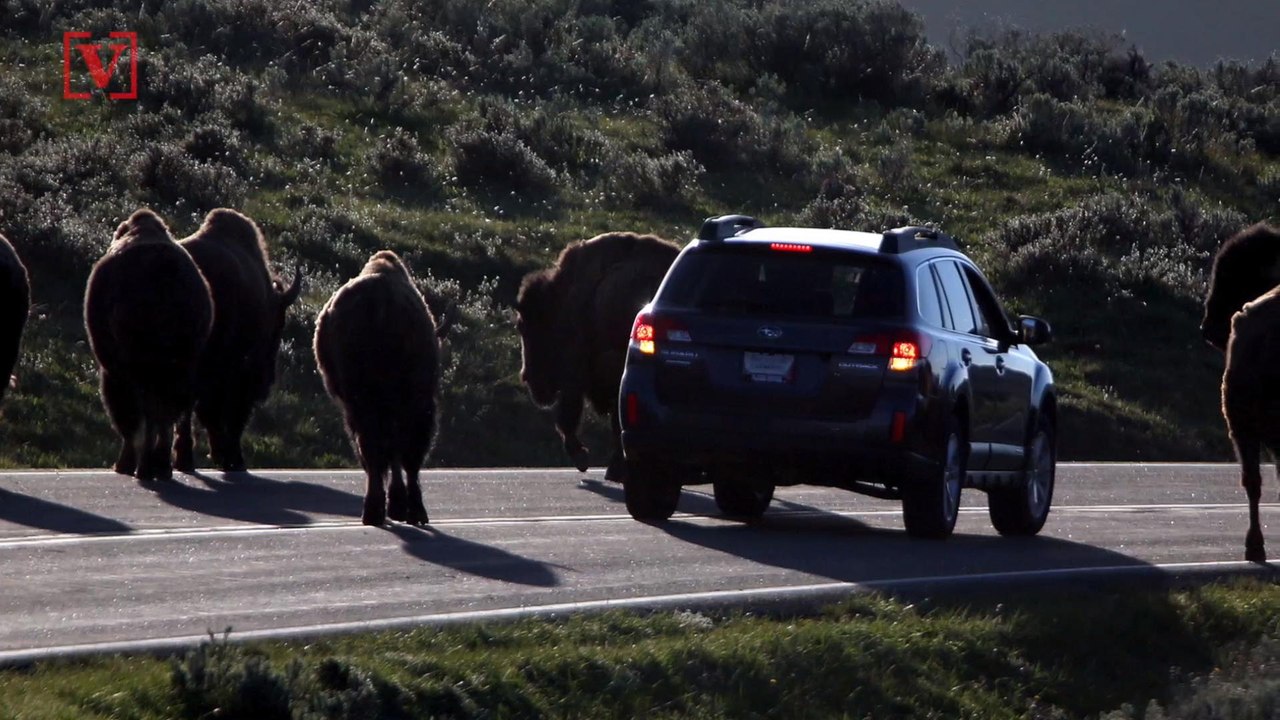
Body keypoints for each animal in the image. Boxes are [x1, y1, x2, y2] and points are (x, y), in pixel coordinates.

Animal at [84, 209, 213, 481]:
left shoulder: (114, 370)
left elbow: (130, 418)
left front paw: (125, 463)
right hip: (180, 363)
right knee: (168, 409)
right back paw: (160, 465)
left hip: (139, 364)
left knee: (146, 411)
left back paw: (143, 466)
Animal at [314, 251, 452, 525]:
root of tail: (377, 303)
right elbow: (405, 456)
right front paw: (404, 507)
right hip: (408, 404)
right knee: (401, 452)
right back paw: (411, 511)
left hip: (358, 403)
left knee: (372, 450)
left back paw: (373, 511)